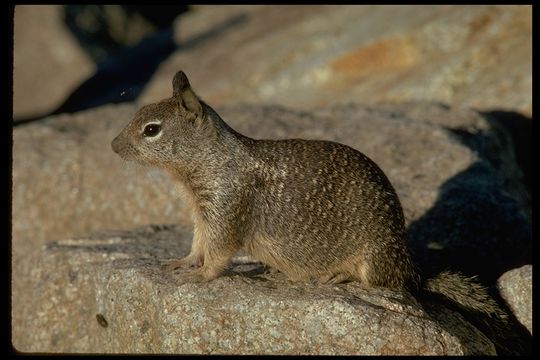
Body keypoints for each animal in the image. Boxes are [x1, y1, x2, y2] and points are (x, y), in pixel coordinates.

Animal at [110, 70, 528, 354]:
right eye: (139, 115)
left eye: (151, 129)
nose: (113, 146)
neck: (206, 163)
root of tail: (412, 268)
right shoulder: (203, 212)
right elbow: (197, 243)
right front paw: (181, 262)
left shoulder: (226, 208)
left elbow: (218, 252)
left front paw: (201, 276)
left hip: (377, 256)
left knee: (384, 284)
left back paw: (339, 275)